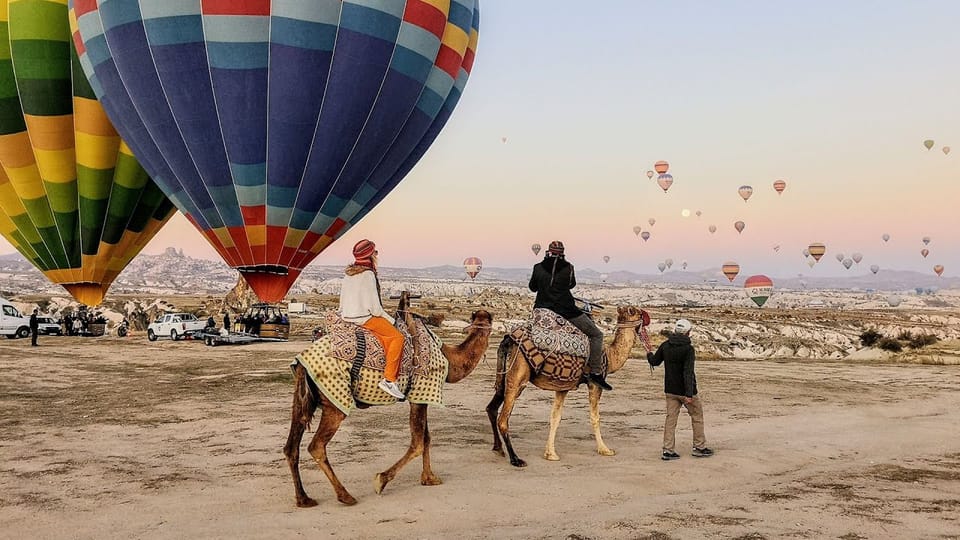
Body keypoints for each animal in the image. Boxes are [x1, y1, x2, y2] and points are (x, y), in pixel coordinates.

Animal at [284, 292, 496, 506]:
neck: (449, 358)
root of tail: (302, 360)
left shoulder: (422, 397)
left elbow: (426, 438)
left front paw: (429, 478)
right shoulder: (421, 393)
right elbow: (418, 443)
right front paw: (381, 480)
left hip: (304, 399)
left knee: (291, 446)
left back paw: (303, 498)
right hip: (334, 400)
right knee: (317, 446)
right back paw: (345, 495)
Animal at [488, 306, 644, 466]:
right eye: (638, 312)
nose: (645, 320)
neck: (610, 354)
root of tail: (508, 341)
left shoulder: (563, 385)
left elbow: (555, 417)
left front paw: (550, 454)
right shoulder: (594, 383)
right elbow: (595, 417)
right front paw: (605, 450)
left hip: (503, 377)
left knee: (492, 408)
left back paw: (498, 448)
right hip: (518, 377)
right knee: (503, 419)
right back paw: (515, 459)